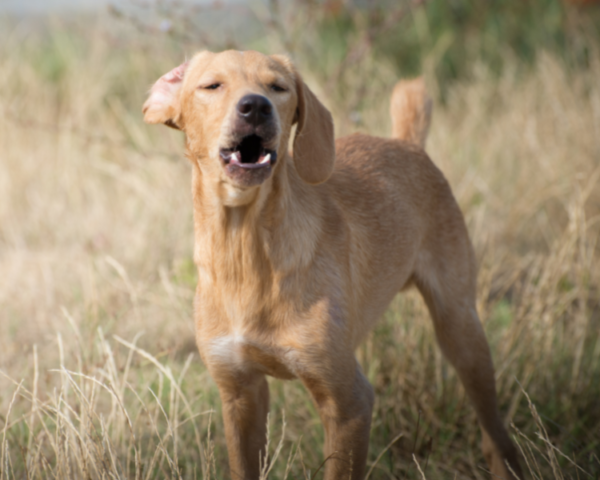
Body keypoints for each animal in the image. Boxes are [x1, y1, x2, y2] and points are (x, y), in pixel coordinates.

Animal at [142, 50, 520, 478]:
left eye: (278, 87)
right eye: (212, 85)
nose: (255, 106)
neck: (245, 253)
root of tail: (404, 143)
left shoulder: (349, 401)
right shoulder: (240, 395)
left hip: (460, 329)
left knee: (494, 432)